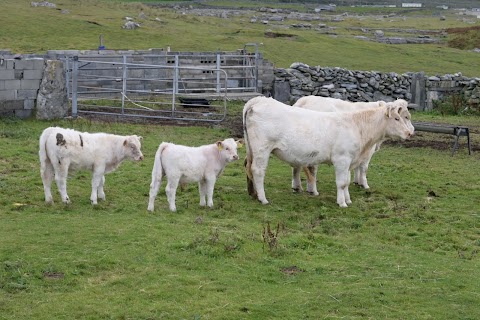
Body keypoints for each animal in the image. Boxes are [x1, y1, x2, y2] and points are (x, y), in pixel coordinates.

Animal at [242, 96, 414, 208]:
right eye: (397, 118)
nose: (409, 133)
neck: (357, 127)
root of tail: (258, 100)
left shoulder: (350, 161)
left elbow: (347, 181)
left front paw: (348, 199)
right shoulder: (342, 159)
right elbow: (342, 182)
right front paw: (342, 203)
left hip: (252, 149)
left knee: (249, 167)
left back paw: (254, 194)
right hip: (262, 149)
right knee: (258, 171)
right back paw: (263, 198)